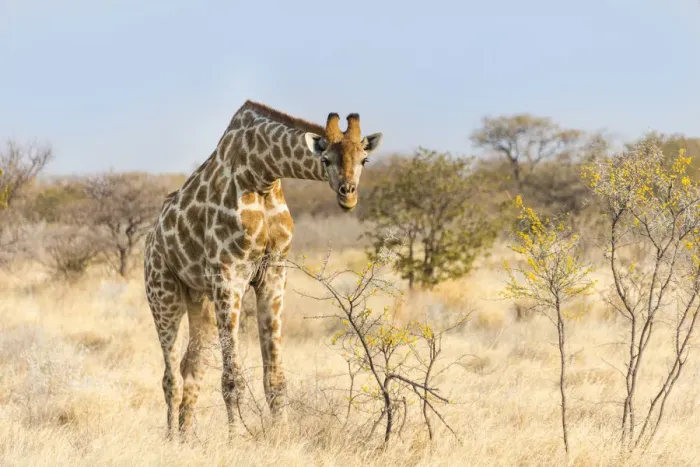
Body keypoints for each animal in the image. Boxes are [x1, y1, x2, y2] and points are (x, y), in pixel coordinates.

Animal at [143, 99, 383, 439]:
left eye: (365, 159)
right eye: (325, 159)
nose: (348, 194)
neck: (262, 173)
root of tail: (151, 239)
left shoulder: (274, 272)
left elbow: (275, 379)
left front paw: (282, 434)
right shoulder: (229, 274)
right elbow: (232, 379)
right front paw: (237, 439)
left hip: (200, 297)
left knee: (192, 365)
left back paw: (187, 438)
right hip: (162, 291)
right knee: (170, 375)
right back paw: (172, 441)